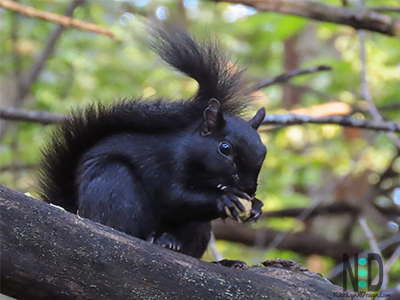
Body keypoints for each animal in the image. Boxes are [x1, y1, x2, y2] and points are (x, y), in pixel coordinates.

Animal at [39, 27, 268, 258]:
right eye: (225, 148)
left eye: (264, 151)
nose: (249, 188)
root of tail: (77, 210)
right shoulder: (164, 163)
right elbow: (174, 197)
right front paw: (225, 198)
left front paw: (256, 205)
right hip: (112, 185)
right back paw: (151, 238)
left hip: (198, 230)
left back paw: (173, 242)